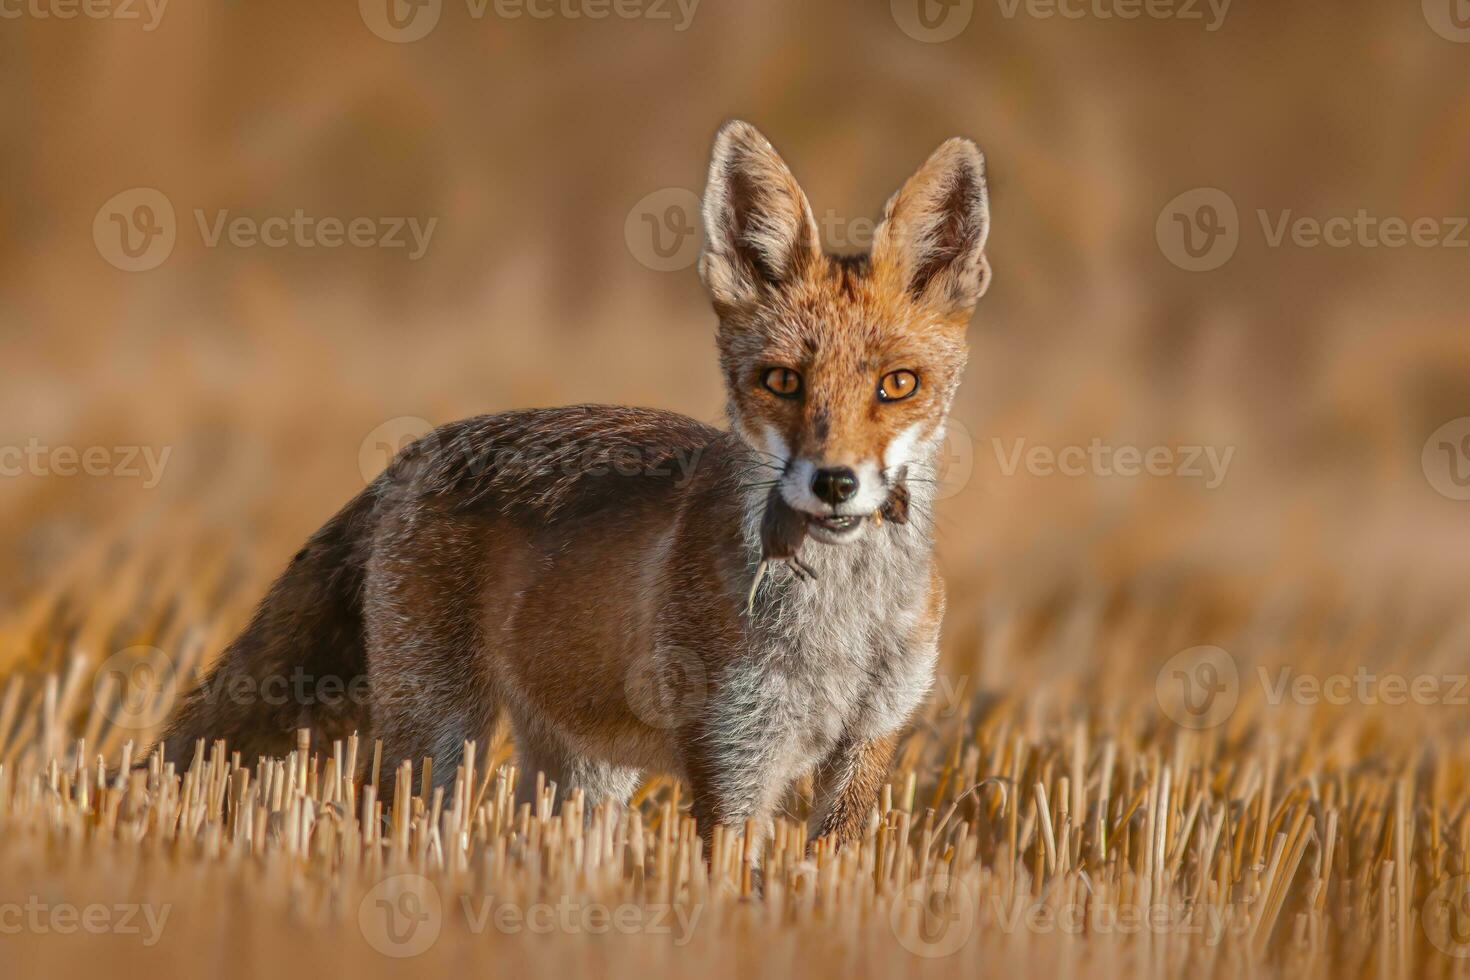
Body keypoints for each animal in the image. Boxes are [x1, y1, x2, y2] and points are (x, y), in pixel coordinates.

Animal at [158, 120, 987, 858]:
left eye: (898, 385)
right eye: (782, 381)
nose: (835, 482)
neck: (841, 626)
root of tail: (420, 450)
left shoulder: (869, 740)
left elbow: (829, 865)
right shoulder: (733, 755)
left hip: (582, 770)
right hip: (439, 738)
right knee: (394, 812)